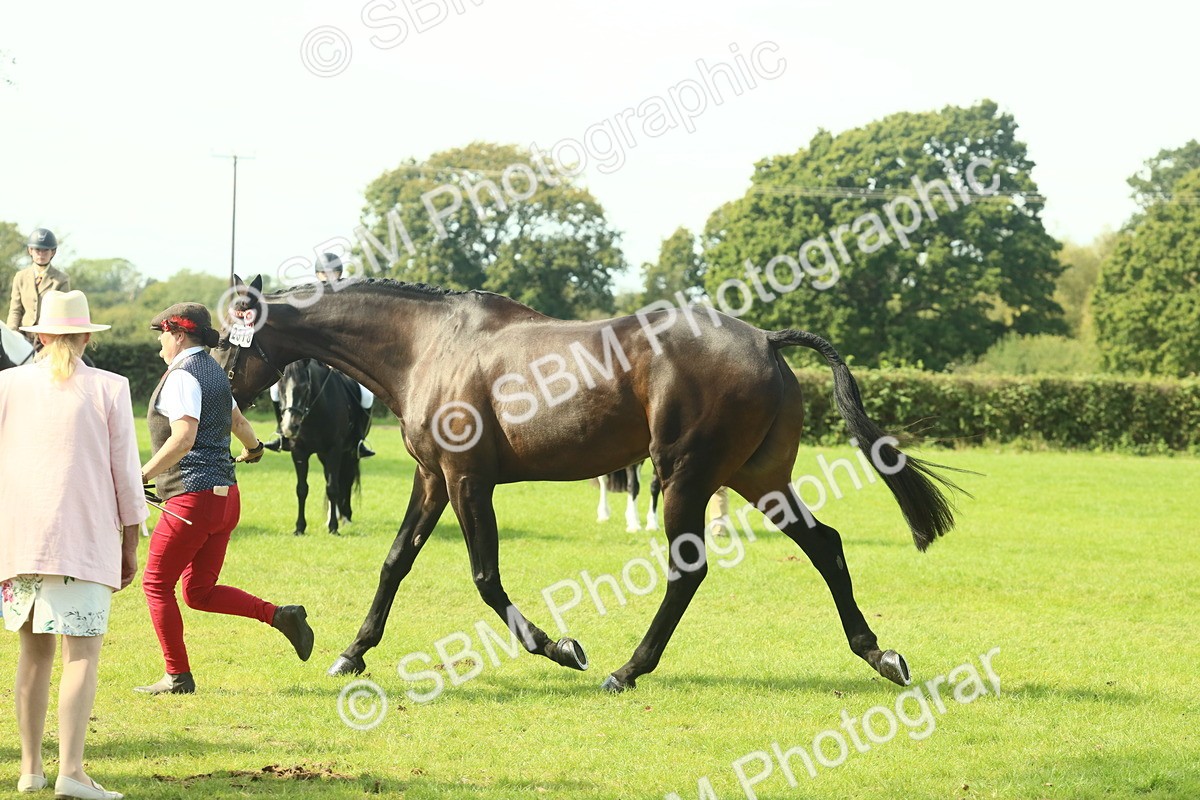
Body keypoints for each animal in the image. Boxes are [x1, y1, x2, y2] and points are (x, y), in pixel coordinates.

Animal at [276, 358, 364, 535]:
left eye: (304, 387)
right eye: (281, 387)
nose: (289, 427)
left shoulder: (335, 450)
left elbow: (333, 488)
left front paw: (334, 527)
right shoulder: (299, 452)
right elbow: (302, 489)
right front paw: (299, 528)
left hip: (349, 454)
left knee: (347, 480)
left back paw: (345, 517)